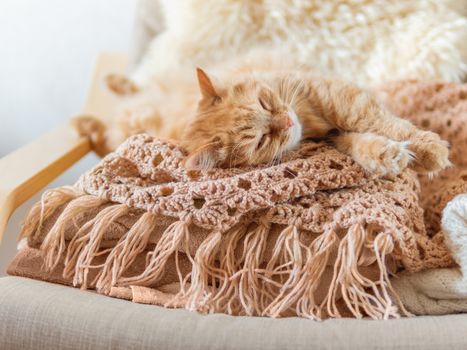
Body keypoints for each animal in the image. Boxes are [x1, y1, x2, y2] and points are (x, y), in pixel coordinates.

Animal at [75, 64, 452, 175]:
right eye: (260, 141)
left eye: (264, 103)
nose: (286, 123)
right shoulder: (329, 136)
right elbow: (363, 142)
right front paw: (388, 154)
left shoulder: (337, 99)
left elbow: (383, 123)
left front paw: (428, 149)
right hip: (126, 127)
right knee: (104, 133)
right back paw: (87, 120)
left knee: (138, 86)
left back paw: (114, 82)